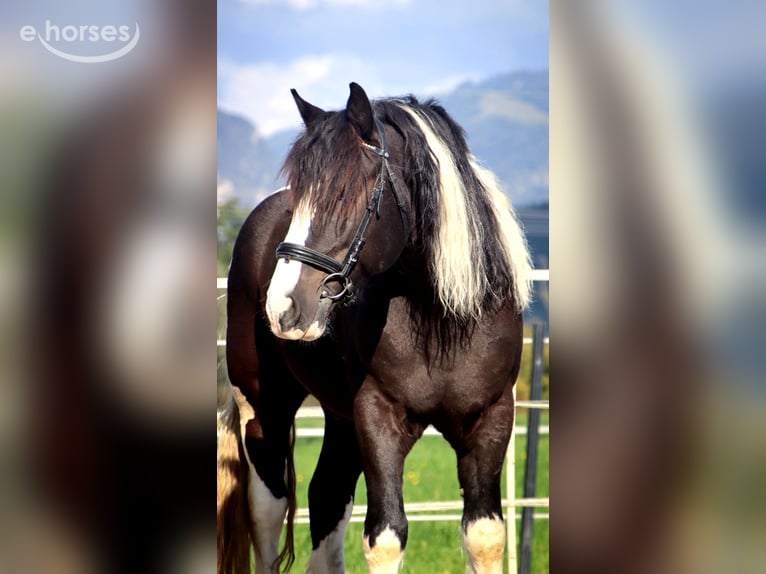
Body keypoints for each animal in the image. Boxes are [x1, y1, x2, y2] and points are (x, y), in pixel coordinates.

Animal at [217, 82, 532, 574]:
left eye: (350, 193)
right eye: (301, 197)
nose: (282, 306)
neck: (441, 321)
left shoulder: (491, 419)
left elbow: (484, 536)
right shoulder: (377, 417)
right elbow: (385, 537)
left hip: (340, 416)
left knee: (326, 498)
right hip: (266, 406)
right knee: (268, 508)